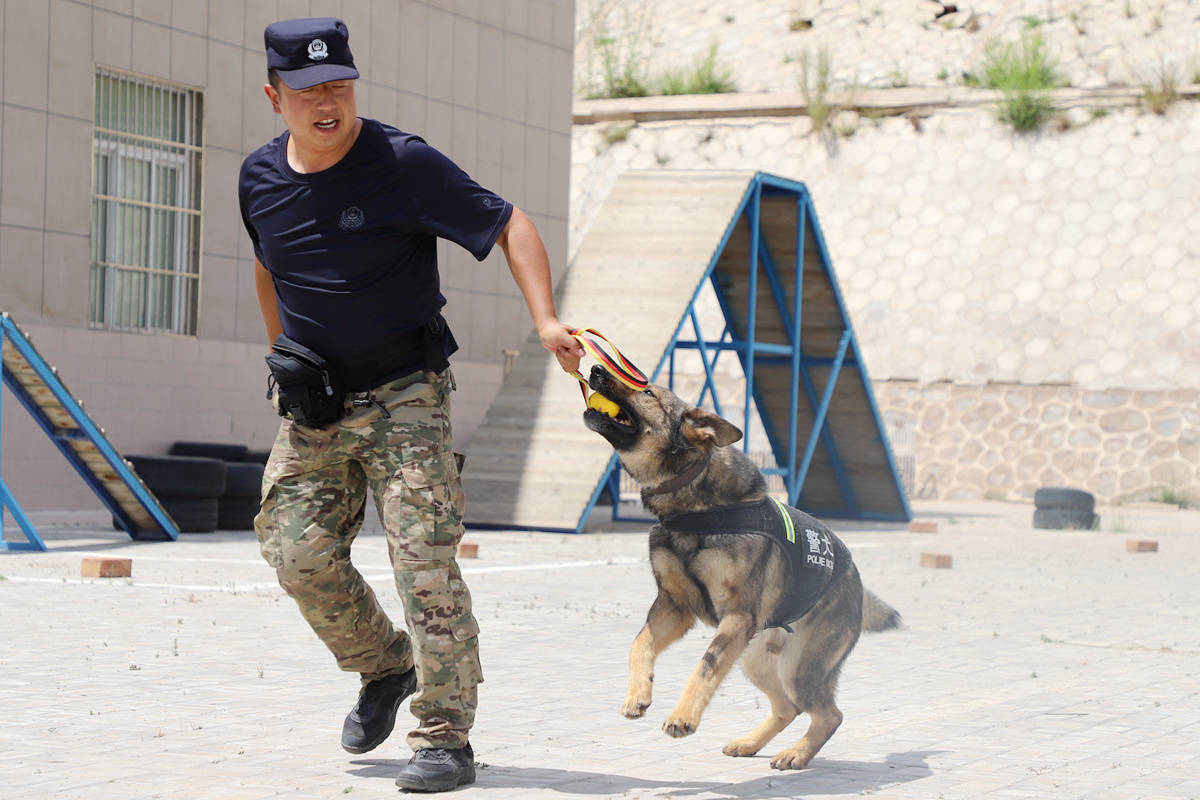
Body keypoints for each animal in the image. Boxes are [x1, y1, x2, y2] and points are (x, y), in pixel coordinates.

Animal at [580, 367, 902, 772]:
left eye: (648, 392)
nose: (595, 370)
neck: (693, 499)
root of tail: (854, 578)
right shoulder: (675, 607)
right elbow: (639, 645)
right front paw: (638, 693)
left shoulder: (735, 616)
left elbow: (705, 666)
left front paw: (683, 717)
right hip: (755, 660)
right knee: (788, 708)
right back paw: (751, 743)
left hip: (798, 669)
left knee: (829, 714)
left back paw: (796, 753)